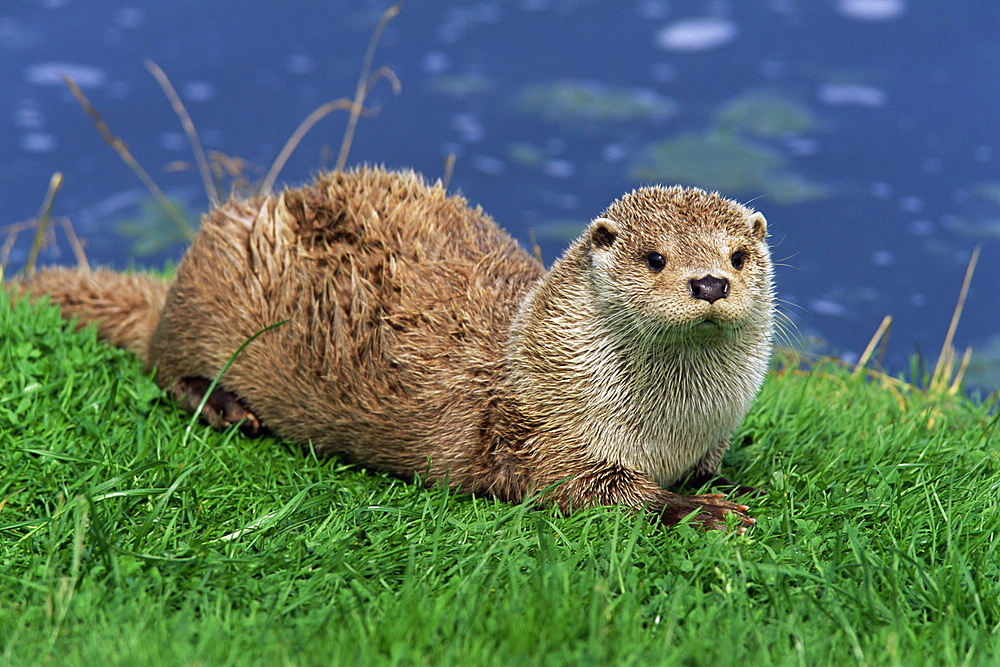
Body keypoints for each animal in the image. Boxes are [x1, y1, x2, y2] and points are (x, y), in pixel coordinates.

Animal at [11, 168, 772, 532]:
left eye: (738, 254)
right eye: (655, 257)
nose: (710, 281)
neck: (670, 429)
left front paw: (726, 483)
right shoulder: (543, 436)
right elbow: (593, 492)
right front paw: (704, 512)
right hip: (215, 281)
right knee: (164, 361)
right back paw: (225, 405)